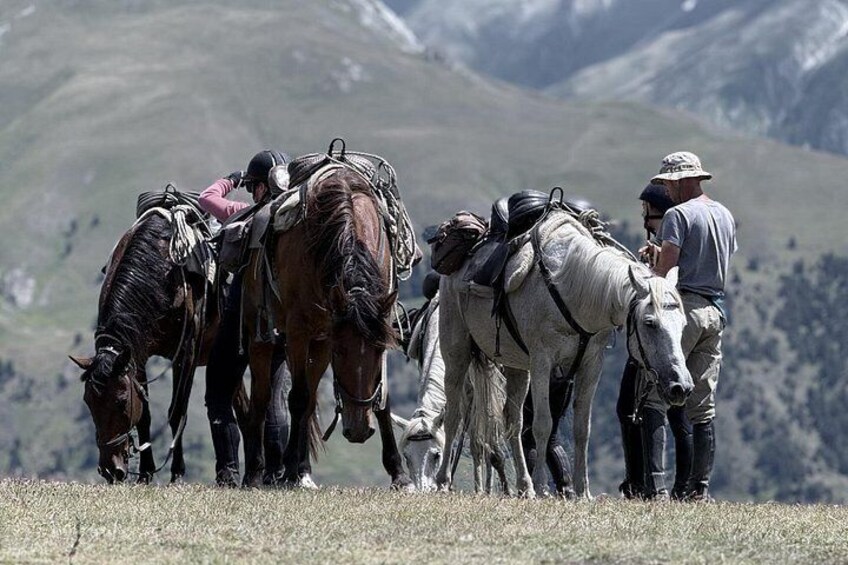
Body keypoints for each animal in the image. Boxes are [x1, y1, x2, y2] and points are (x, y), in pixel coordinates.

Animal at [70, 205, 223, 483]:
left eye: (120, 402)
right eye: (88, 402)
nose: (110, 470)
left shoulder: (186, 355)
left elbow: (176, 412)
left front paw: (177, 473)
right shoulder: (137, 356)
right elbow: (145, 416)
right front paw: (145, 473)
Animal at [243, 165, 411, 489]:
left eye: (377, 352)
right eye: (341, 353)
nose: (358, 430)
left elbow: (382, 399)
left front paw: (399, 473)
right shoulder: (298, 331)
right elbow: (297, 398)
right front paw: (290, 471)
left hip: (318, 341)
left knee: (308, 402)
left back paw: (301, 469)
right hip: (263, 337)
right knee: (261, 398)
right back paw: (255, 472)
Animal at [435, 207, 694, 497]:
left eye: (683, 325)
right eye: (650, 323)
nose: (681, 387)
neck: (573, 288)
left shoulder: (591, 365)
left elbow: (582, 428)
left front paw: (582, 491)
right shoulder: (542, 362)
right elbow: (543, 425)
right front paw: (542, 486)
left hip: (516, 368)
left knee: (513, 421)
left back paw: (524, 486)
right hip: (456, 352)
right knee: (454, 414)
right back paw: (443, 480)